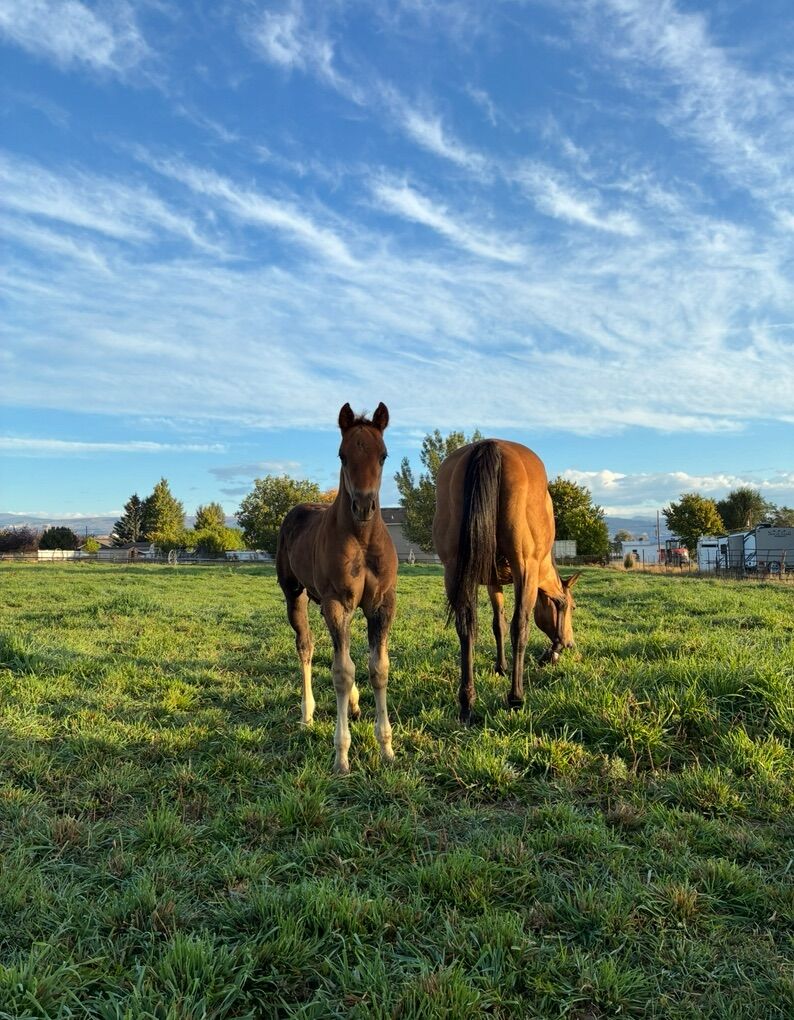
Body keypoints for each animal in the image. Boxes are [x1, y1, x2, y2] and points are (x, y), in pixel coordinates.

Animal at [276, 402, 398, 774]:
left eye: (383, 455)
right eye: (342, 455)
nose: (363, 506)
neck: (361, 538)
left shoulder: (382, 604)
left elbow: (378, 668)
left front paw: (386, 747)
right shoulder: (336, 603)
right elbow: (342, 671)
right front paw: (341, 755)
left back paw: (355, 704)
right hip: (295, 595)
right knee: (306, 647)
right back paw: (307, 715)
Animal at [432, 439, 580, 724]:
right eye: (575, 608)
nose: (570, 643)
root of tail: (489, 445)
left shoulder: (492, 583)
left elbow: (497, 624)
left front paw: (500, 667)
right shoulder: (533, 576)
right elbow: (541, 611)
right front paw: (552, 651)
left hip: (454, 570)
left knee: (466, 628)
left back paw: (467, 703)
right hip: (524, 568)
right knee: (519, 626)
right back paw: (516, 697)